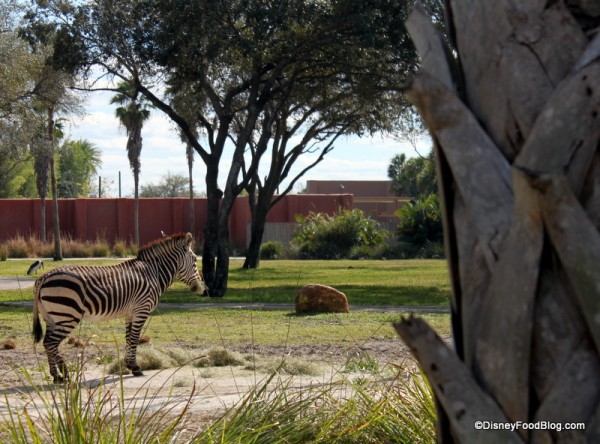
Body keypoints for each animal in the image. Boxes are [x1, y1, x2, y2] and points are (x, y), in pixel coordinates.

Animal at [32, 232, 206, 382]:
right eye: (195, 260)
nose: (203, 290)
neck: (153, 273)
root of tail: (43, 277)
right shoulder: (141, 309)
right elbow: (135, 339)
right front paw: (136, 368)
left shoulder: (130, 313)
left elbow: (129, 338)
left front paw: (129, 365)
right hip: (67, 315)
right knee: (51, 343)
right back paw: (65, 374)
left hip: (51, 317)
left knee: (47, 343)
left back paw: (56, 376)